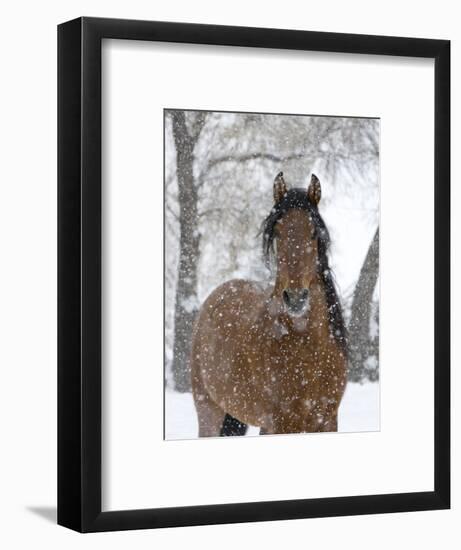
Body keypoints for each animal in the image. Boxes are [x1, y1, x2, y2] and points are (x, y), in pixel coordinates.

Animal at [190, 171, 344, 436]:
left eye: (314, 232)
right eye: (278, 232)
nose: (295, 297)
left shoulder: (327, 421)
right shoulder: (283, 423)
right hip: (210, 411)